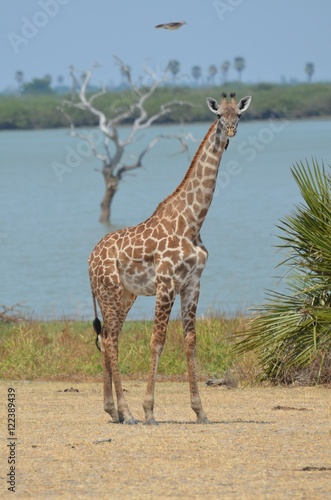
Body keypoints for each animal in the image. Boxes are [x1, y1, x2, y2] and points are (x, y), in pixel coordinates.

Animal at [88, 92, 252, 424]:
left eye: (239, 115)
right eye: (219, 116)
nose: (230, 130)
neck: (193, 222)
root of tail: (89, 260)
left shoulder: (192, 283)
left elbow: (190, 341)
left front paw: (200, 410)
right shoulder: (166, 283)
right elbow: (158, 340)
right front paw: (149, 409)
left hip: (124, 295)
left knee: (110, 337)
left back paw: (114, 410)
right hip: (110, 292)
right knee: (110, 340)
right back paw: (128, 412)